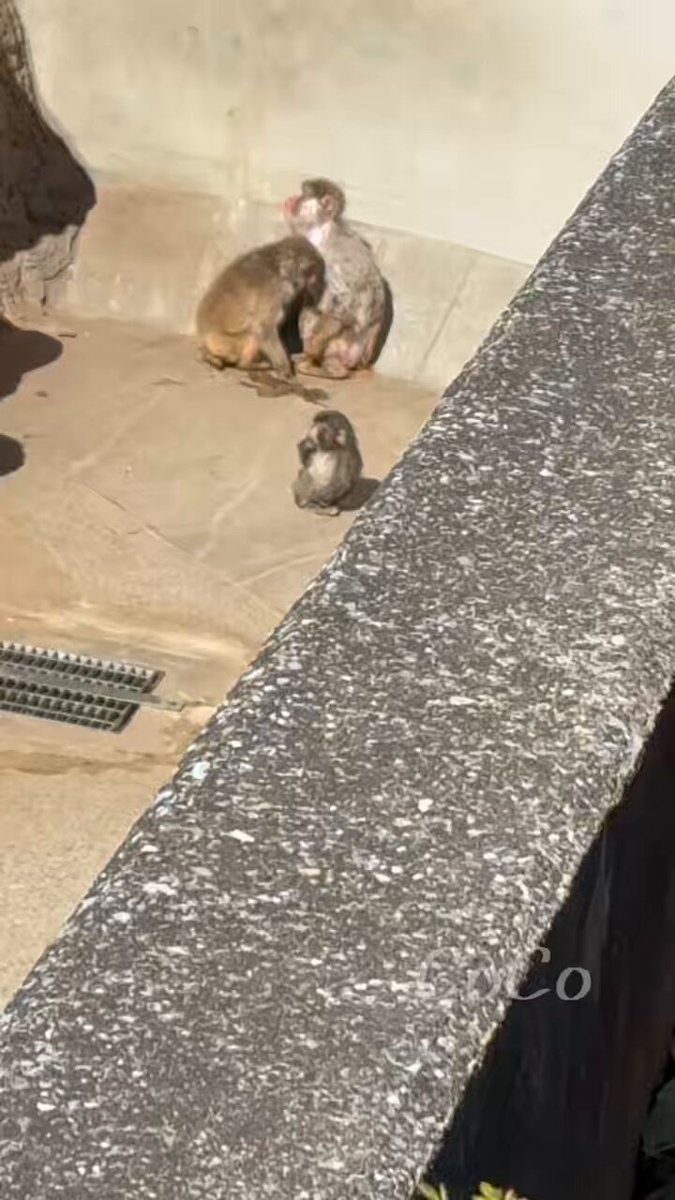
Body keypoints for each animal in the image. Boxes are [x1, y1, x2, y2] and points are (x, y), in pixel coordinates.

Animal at [196, 236, 326, 379]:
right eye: (309, 271)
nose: (314, 280)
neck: (279, 268)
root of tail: (203, 340)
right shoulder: (274, 289)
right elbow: (264, 328)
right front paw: (284, 368)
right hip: (225, 344)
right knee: (253, 332)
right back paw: (246, 365)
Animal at [282, 178, 388, 380]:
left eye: (304, 194)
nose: (291, 198)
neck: (324, 233)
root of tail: (360, 362)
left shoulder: (333, 262)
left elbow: (341, 312)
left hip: (343, 348)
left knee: (315, 311)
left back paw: (325, 367)